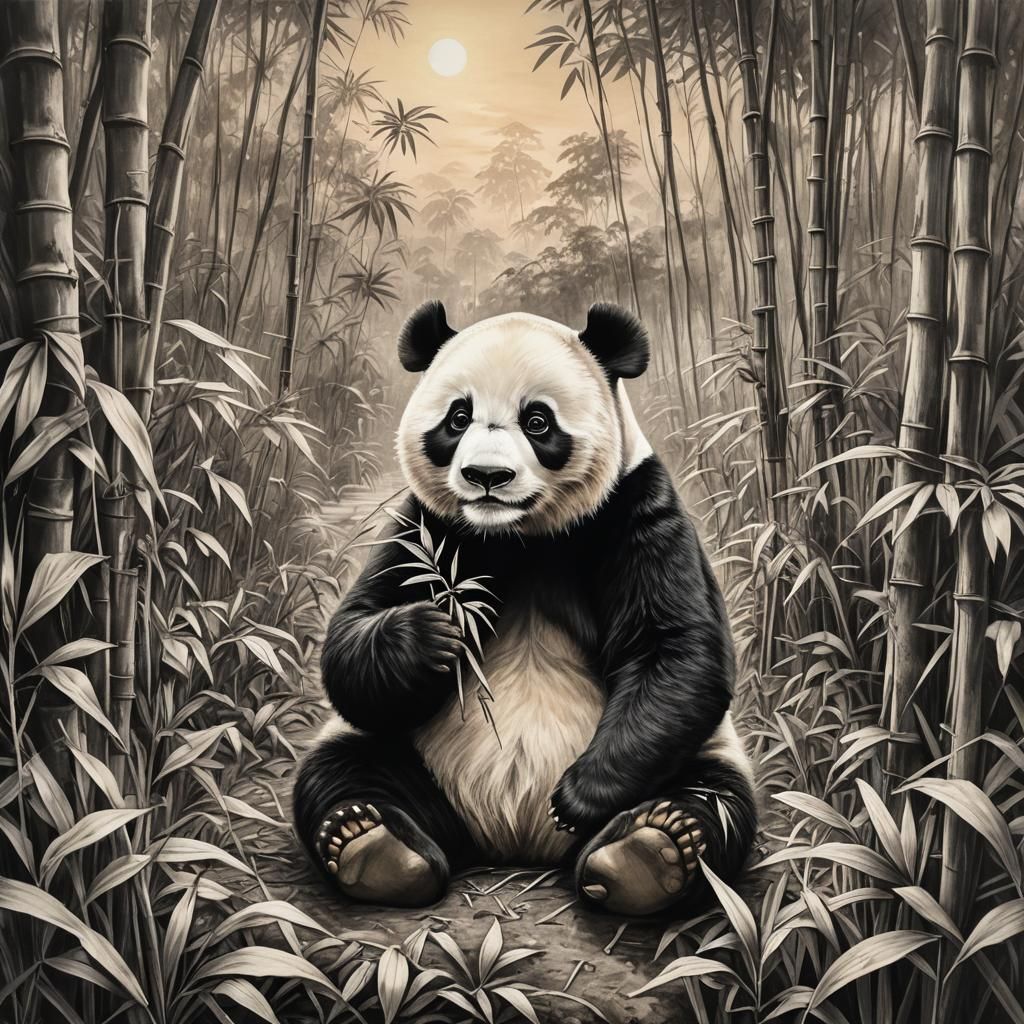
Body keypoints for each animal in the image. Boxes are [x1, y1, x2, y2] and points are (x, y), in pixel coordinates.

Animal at [293, 301, 756, 916]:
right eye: (458, 418)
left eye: (537, 421)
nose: (487, 476)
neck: (520, 537)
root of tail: (512, 842)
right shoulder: (428, 530)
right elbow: (353, 634)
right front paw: (434, 635)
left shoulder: (635, 509)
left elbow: (676, 647)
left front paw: (580, 797)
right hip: (402, 756)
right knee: (344, 770)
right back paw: (374, 844)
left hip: (704, 754)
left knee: (716, 797)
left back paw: (648, 850)